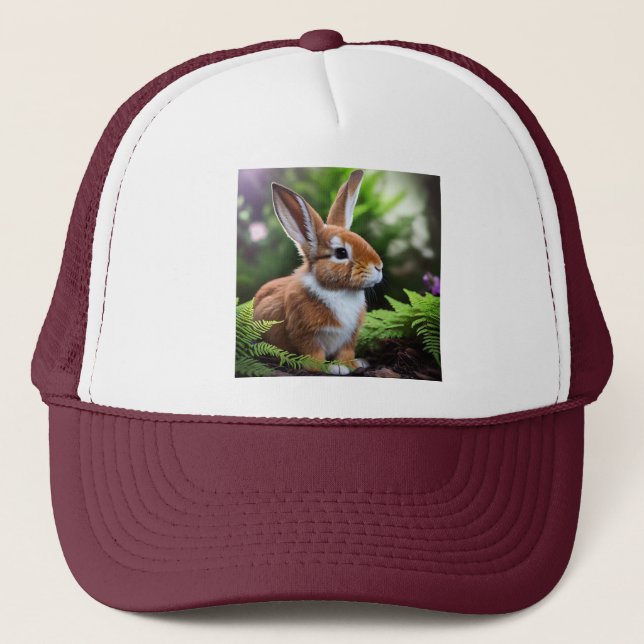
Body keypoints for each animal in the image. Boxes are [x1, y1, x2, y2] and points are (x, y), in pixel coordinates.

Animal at [253, 170, 383, 375]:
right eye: (341, 253)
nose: (378, 266)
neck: (337, 291)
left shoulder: (350, 336)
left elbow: (346, 351)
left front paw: (352, 365)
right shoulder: (304, 332)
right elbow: (313, 353)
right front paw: (326, 368)